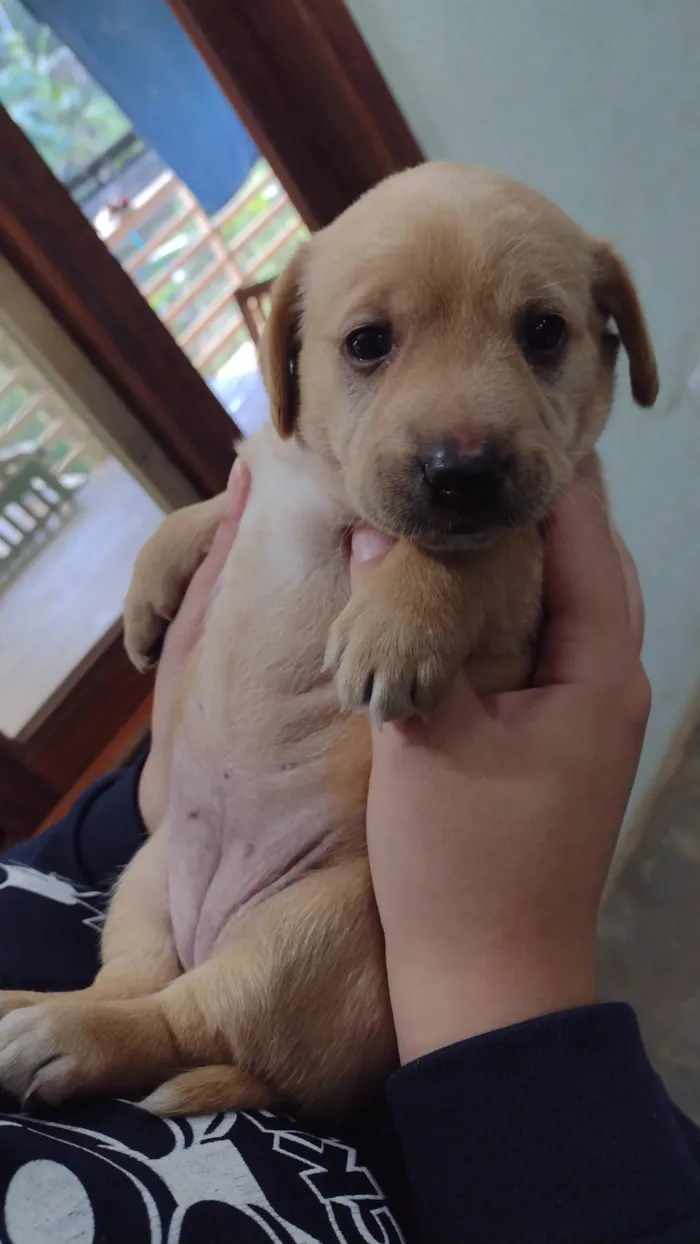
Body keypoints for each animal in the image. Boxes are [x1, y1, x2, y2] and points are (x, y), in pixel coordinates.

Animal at [0, 162, 661, 1119]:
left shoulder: (538, 546)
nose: (462, 473)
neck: (331, 491)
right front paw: (151, 588)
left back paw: (59, 1031)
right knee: (134, 986)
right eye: (366, 343)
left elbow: (474, 550)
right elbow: (210, 503)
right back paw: (30, 1003)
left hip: (314, 931)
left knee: (175, 1019)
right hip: (146, 885)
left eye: (544, 333)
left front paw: (394, 623)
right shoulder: (268, 473)